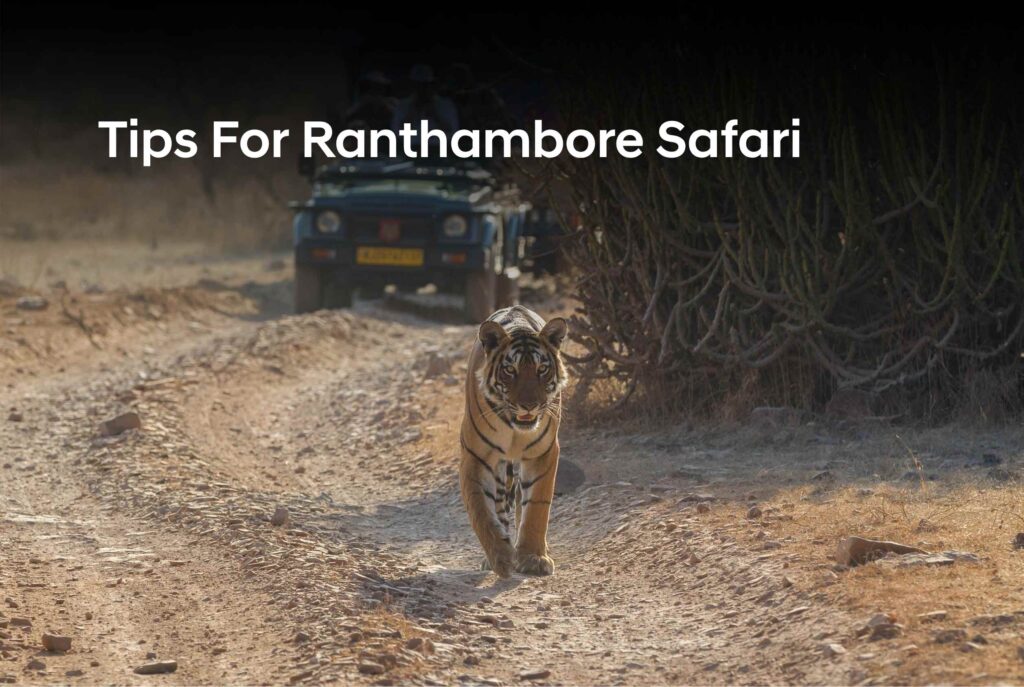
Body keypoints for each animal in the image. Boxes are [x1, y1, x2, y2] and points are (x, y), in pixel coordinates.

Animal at [459, 305, 568, 577]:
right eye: (510, 370)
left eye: (542, 369)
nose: (529, 405)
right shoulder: (476, 457)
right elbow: (481, 511)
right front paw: (500, 557)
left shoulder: (543, 453)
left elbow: (536, 508)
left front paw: (532, 557)